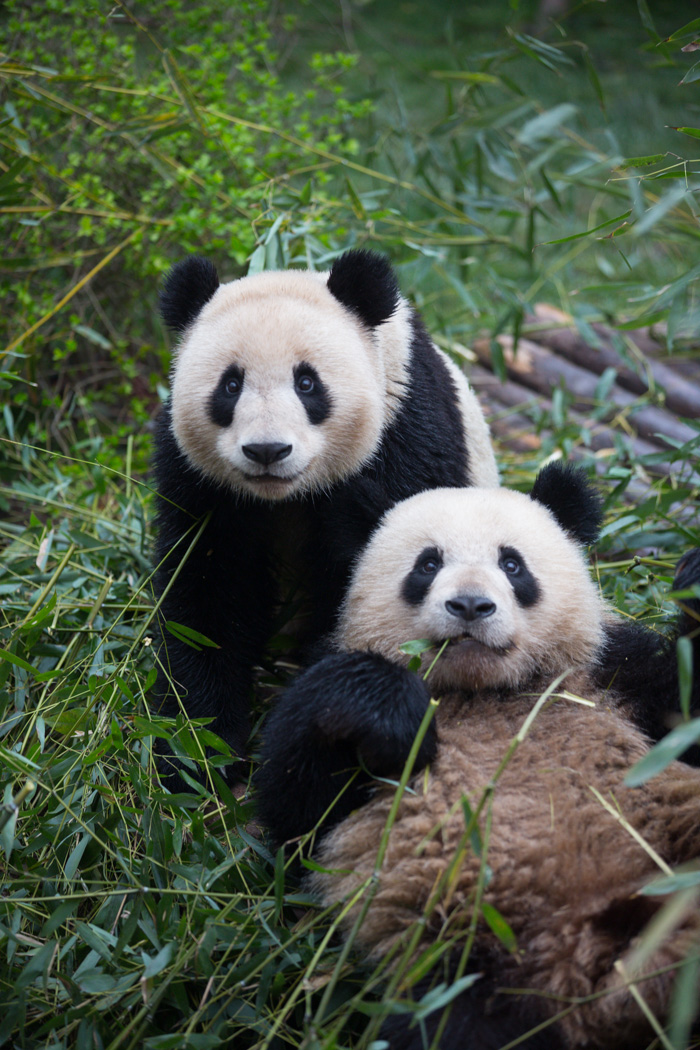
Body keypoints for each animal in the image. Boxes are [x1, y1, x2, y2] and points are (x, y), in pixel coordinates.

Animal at [152, 245, 497, 772]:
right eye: (230, 386)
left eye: (307, 383)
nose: (267, 450)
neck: (289, 496)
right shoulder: (201, 480)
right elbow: (206, 592)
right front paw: (200, 749)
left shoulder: (405, 435)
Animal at [257, 468, 700, 1050]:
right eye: (427, 564)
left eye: (512, 564)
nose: (470, 606)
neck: (488, 692)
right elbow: (298, 817)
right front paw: (394, 713)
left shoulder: (613, 675)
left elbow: (685, 702)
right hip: (475, 958)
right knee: (456, 1024)